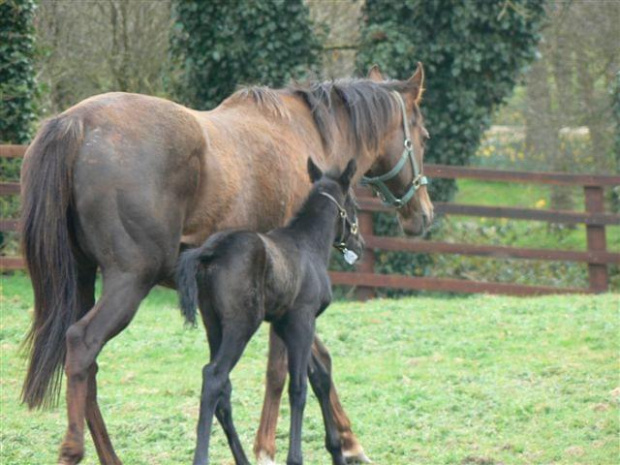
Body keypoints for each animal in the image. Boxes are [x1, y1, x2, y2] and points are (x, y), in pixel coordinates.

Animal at [177, 160, 364, 464]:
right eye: (355, 204)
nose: (360, 246)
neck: (308, 245)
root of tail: (210, 251)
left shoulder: (284, 324)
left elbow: (317, 377)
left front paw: (337, 449)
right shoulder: (303, 320)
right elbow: (298, 387)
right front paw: (296, 457)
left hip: (213, 325)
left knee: (223, 388)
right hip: (241, 326)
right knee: (214, 376)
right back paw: (202, 458)